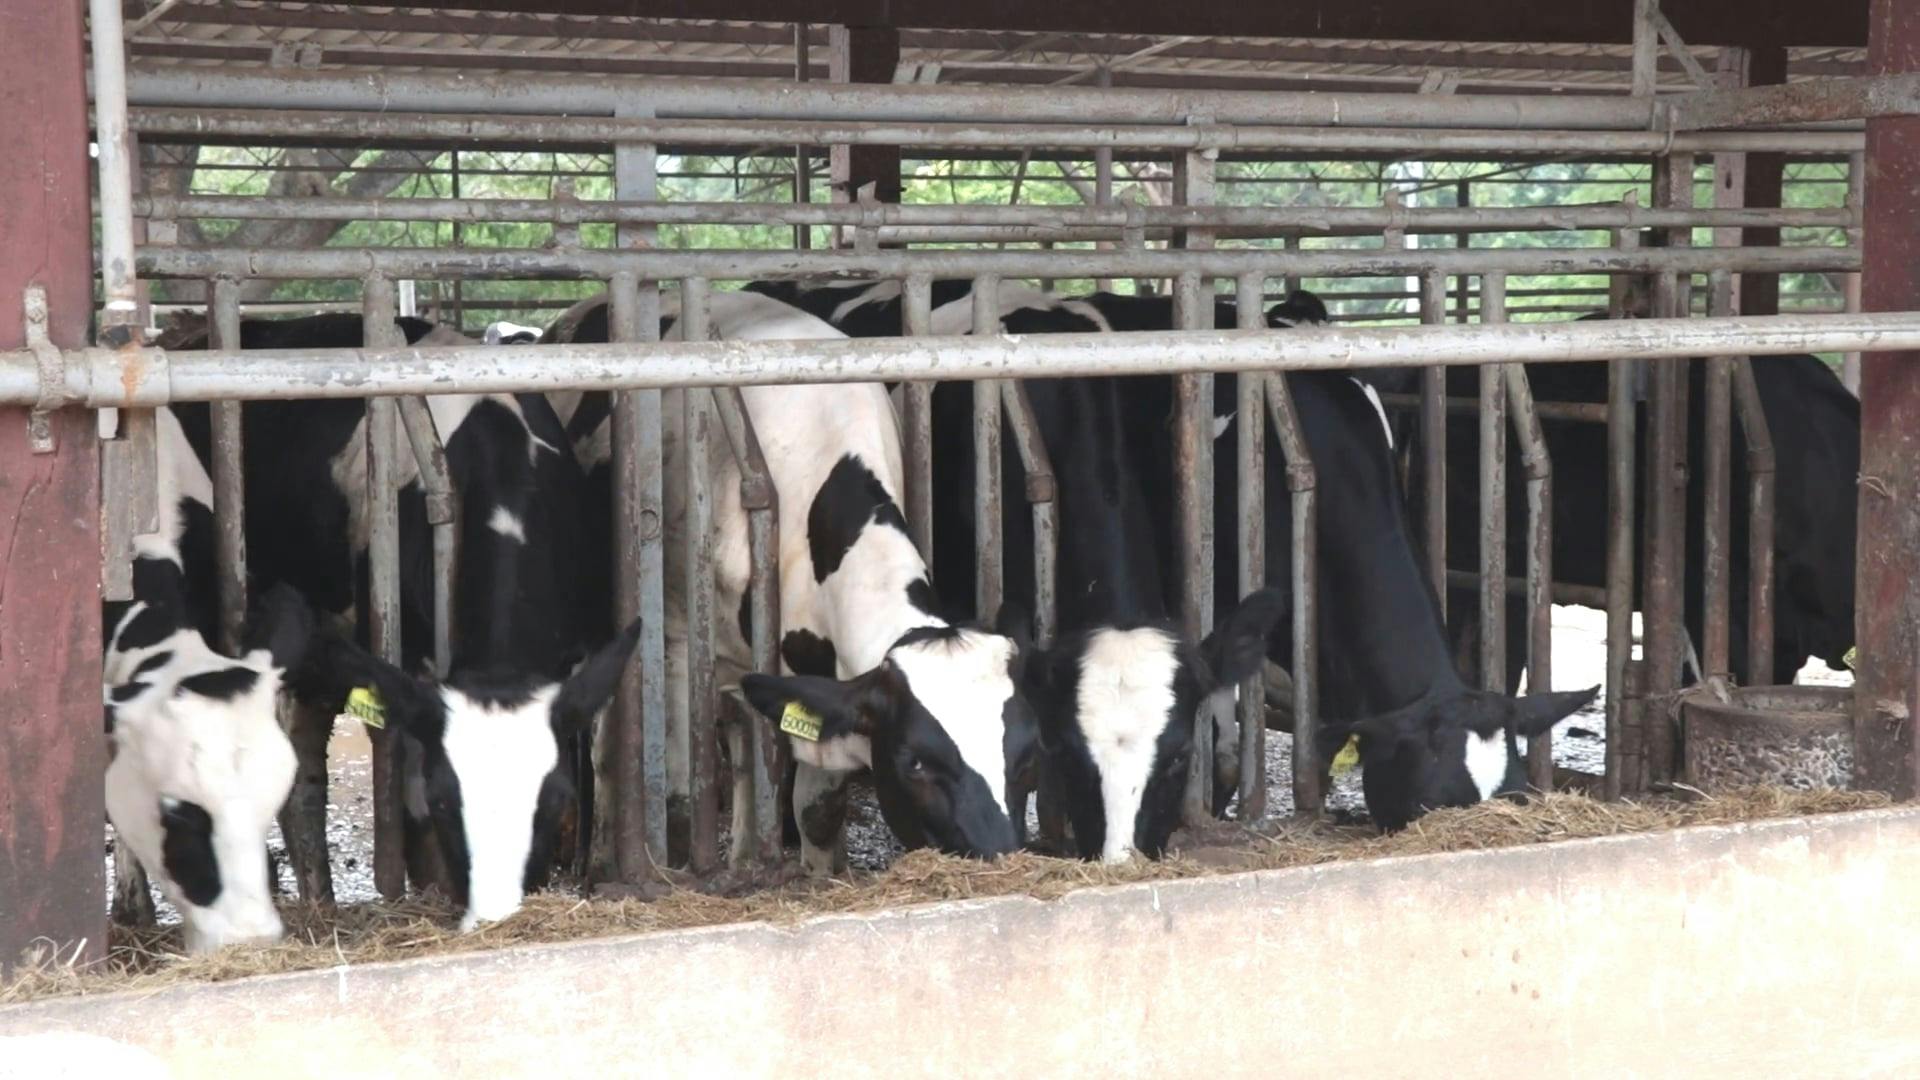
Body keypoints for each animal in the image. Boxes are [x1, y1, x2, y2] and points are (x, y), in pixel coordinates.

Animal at [541, 290, 1044, 868]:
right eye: (916, 762)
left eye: (1029, 754)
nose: (1002, 856)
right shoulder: (679, 641)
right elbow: (681, 796)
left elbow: (817, 809)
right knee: (607, 744)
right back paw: (602, 857)